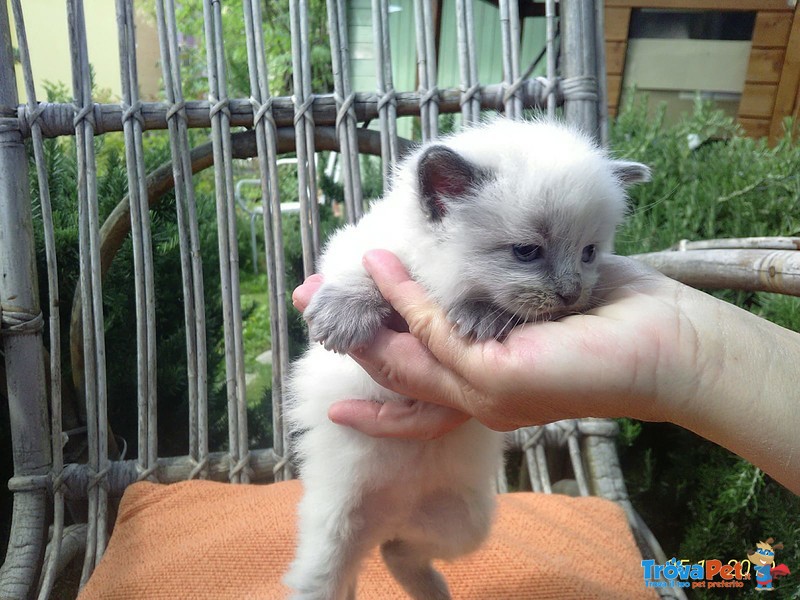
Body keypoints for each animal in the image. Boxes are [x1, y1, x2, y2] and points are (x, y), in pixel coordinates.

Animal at [282, 118, 648, 600]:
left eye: (589, 252)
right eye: (526, 251)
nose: (573, 295)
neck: (439, 277)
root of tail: (389, 516)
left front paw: (480, 316)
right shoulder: (364, 246)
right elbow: (363, 270)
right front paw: (342, 314)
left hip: (465, 524)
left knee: (399, 552)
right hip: (333, 529)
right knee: (338, 571)